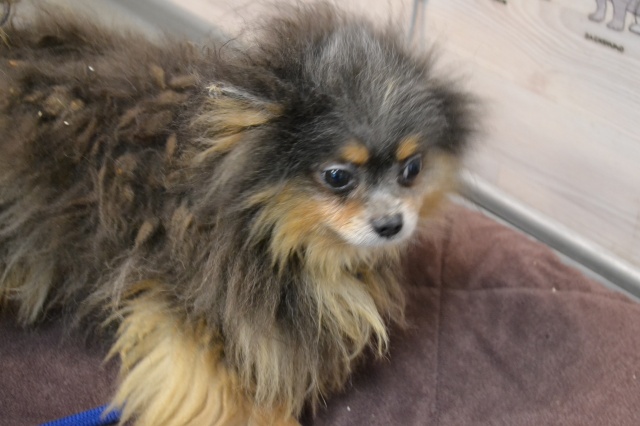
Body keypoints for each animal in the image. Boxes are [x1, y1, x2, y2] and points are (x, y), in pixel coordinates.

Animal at [0, 3, 474, 425]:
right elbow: (221, 391)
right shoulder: (183, 300)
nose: (392, 224)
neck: (266, 230)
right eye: (338, 176)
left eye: (412, 169)